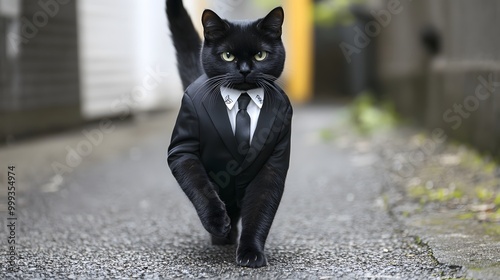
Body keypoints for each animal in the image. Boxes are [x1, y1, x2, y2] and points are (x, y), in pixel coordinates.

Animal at [167, 0, 292, 268]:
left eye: (260, 55)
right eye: (228, 55)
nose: (244, 70)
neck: (242, 97)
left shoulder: (273, 166)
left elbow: (260, 211)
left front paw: (251, 253)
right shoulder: (182, 152)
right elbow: (200, 187)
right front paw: (217, 222)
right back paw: (222, 236)